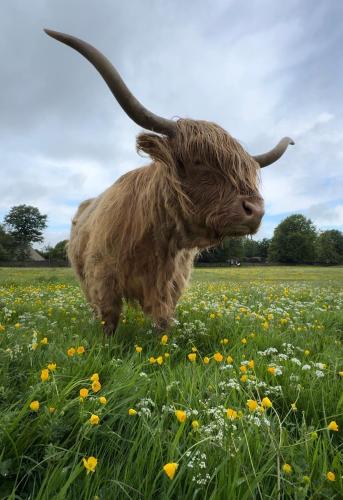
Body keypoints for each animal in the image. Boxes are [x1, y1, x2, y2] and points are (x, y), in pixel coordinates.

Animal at [44, 29, 294, 334]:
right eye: (197, 161)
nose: (255, 210)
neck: (156, 240)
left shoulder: (170, 285)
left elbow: (163, 322)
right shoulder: (101, 277)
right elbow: (108, 319)